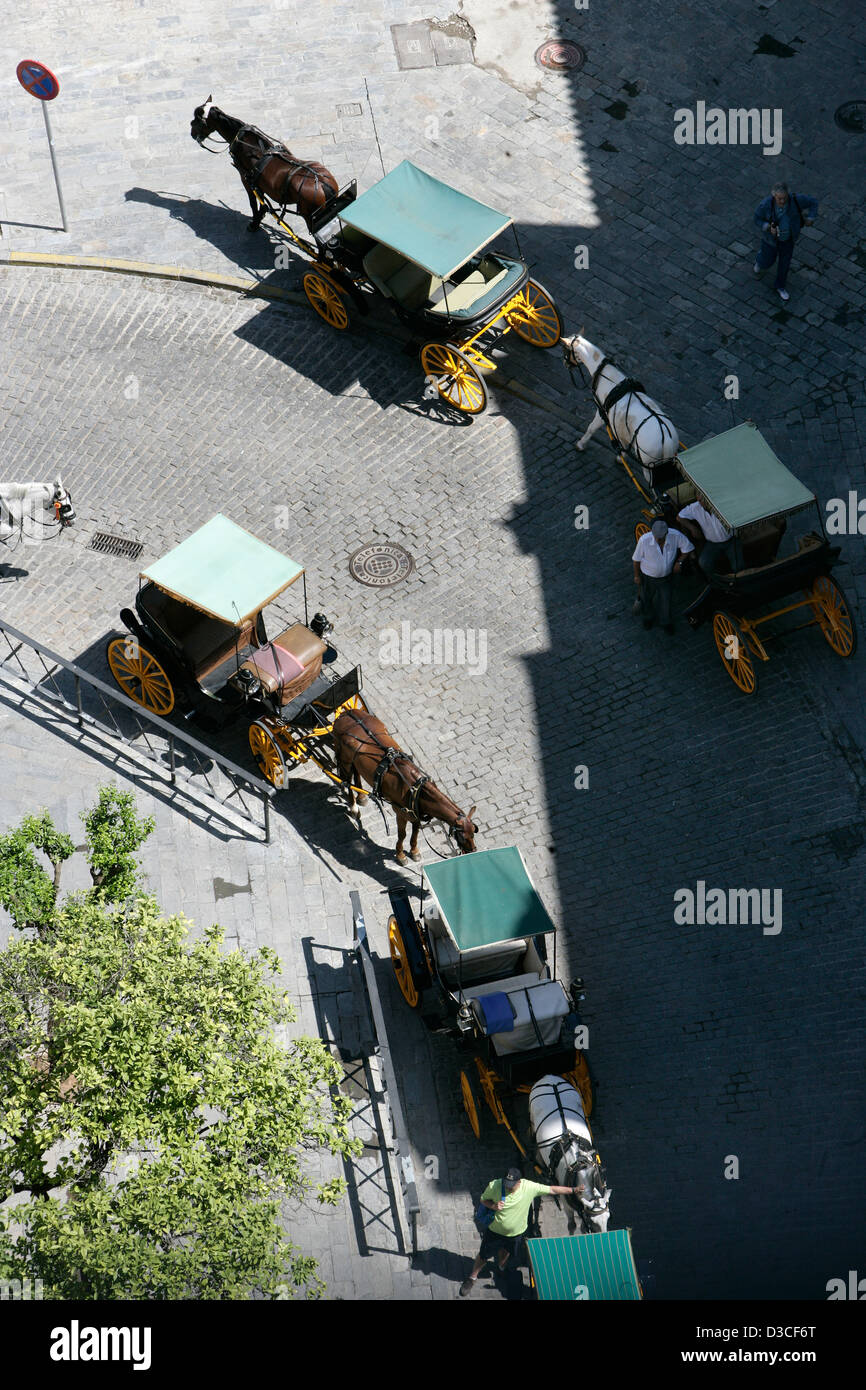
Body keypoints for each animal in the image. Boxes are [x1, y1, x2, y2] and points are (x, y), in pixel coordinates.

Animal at [191, 96, 340, 230]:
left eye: (195, 121)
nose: (191, 133)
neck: (241, 138)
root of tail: (323, 185)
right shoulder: (257, 182)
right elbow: (262, 202)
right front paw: (261, 215)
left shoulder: (246, 179)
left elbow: (253, 202)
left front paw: (254, 222)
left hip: (310, 218)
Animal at [333, 711, 480, 861]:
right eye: (462, 836)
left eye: (473, 832)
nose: (473, 851)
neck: (416, 789)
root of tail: (345, 714)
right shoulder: (400, 813)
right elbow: (402, 834)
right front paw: (400, 855)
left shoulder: (415, 815)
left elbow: (415, 833)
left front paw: (414, 851)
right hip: (345, 761)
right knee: (346, 781)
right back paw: (354, 807)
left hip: (354, 761)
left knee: (355, 774)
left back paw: (361, 797)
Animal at [528, 1067, 608, 1234]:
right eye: (593, 1223)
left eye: (608, 1219)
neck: (580, 1168)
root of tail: (549, 1077)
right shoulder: (566, 1203)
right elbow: (572, 1224)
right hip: (532, 1121)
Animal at [567, 330, 681, 467]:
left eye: (565, 349)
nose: (565, 363)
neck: (606, 374)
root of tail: (667, 439)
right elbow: (625, 444)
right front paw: (621, 458)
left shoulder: (601, 413)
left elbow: (591, 428)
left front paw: (581, 444)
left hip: (648, 464)